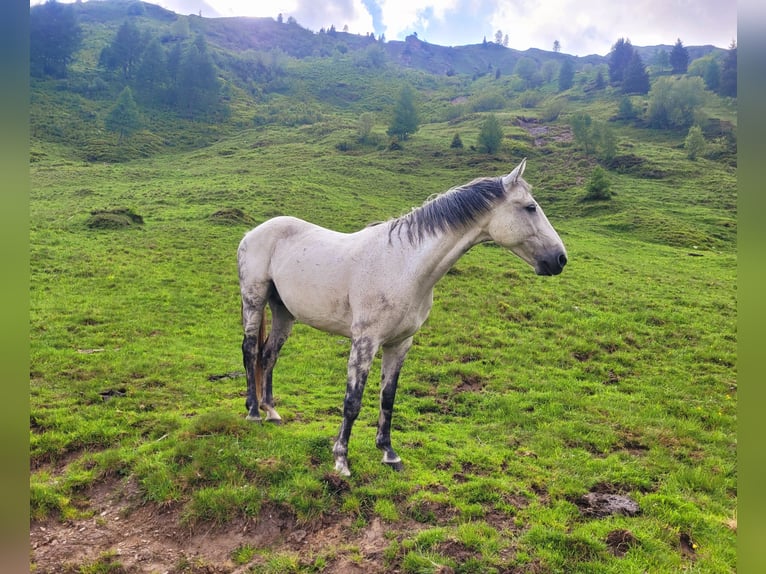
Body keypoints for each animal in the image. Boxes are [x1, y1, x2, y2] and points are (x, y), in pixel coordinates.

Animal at [237, 159, 568, 476]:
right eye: (530, 207)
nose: (560, 259)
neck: (404, 265)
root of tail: (253, 232)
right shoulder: (365, 341)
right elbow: (352, 401)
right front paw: (341, 459)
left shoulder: (400, 343)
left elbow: (388, 397)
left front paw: (389, 453)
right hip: (254, 301)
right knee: (250, 351)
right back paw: (253, 413)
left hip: (284, 312)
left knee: (268, 355)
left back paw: (272, 412)